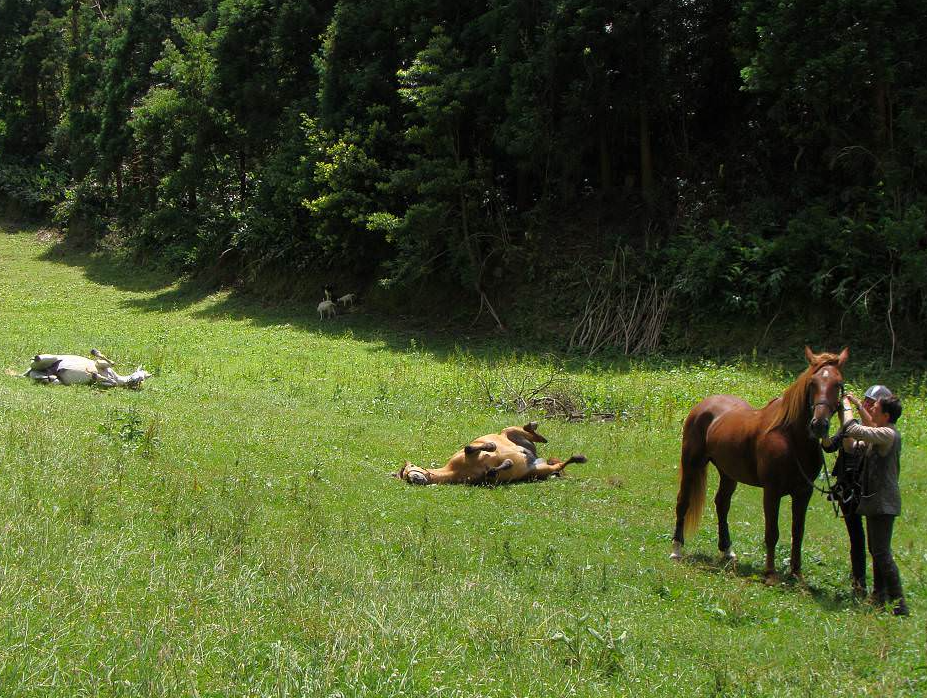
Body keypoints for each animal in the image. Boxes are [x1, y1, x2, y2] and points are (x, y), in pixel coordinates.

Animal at [23, 346, 151, 386]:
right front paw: (95, 352)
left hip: (51, 378)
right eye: (139, 373)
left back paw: (48, 377)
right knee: (37, 358)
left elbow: (110, 382)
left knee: (46, 378)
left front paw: (94, 375)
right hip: (51, 358)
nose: (134, 381)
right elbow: (110, 362)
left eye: (142, 379)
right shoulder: (99, 364)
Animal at [394, 418, 588, 484]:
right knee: (560, 465)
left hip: (511, 431)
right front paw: (504, 464)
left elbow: (470, 447)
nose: (414, 479)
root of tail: (536, 457)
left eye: (410, 468)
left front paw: (491, 447)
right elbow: (492, 473)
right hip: (539, 470)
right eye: (405, 476)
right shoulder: (485, 479)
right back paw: (577, 459)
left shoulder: (468, 452)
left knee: (528, 431)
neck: (454, 470)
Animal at [672, 344, 844, 580]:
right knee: (684, 501)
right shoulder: (772, 491)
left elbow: (798, 532)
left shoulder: (803, 492)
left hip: (728, 473)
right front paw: (770, 574)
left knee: (722, 504)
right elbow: (772, 532)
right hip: (691, 465)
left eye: (838, 384)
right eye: (812, 383)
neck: (790, 437)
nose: (819, 424)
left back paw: (727, 550)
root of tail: (703, 405)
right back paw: (676, 549)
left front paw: (796, 574)